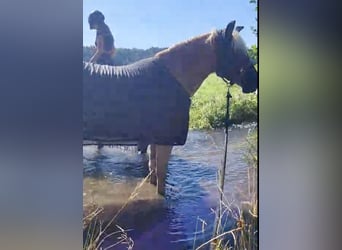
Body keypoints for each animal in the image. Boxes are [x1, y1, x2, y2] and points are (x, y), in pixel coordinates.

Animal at [84, 21, 258, 195]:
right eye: (236, 52)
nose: (253, 82)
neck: (174, 77)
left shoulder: (155, 140)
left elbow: (153, 171)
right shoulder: (165, 142)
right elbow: (160, 179)